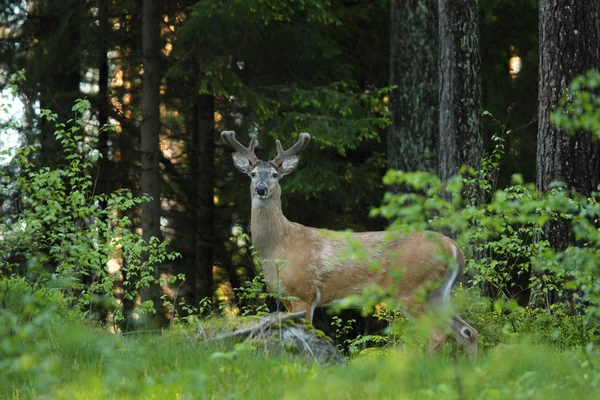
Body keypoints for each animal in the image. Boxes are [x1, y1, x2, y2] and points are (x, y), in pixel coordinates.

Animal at [220, 130, 478, 356]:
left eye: (274, 175)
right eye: (253, 174)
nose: (261, 189)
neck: (278, 248)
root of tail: (454, 249)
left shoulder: (304, 294)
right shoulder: (287, 299)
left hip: (412, 288)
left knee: (437, 334)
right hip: (437, 293)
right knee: (467, 331)